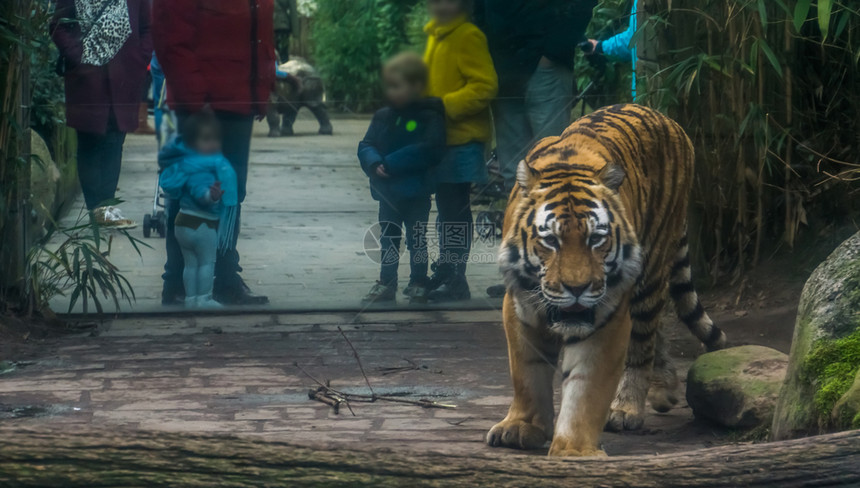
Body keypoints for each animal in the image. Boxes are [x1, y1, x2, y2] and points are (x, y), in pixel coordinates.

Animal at [484, 103, 724, 458]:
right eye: (551, 241)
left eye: (596, 239)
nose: (576, 288)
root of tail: (665, 117)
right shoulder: (518, 305)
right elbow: (526, 373)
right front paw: (521, 427)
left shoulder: (608, 315)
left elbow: (587, 387)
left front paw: (576, 450)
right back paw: (664, 389)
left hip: (650, 269)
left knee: (643, 340)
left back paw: (627, 408)